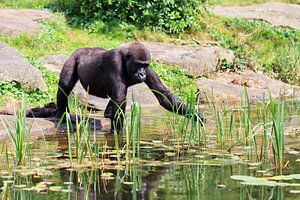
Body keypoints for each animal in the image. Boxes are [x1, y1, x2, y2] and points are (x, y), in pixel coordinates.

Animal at [55, 42, 204, 133]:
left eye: (144, 65)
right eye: (138, 65)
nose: (142, 73)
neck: (126, 60)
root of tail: (81, 49)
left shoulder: (149, 69)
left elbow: (163, 95)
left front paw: (196, 115)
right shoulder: (115, 62)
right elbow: (120, 98)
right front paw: (118, 133)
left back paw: (106, 113)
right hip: (74, 57)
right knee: (65, 87)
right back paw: (61, 114)